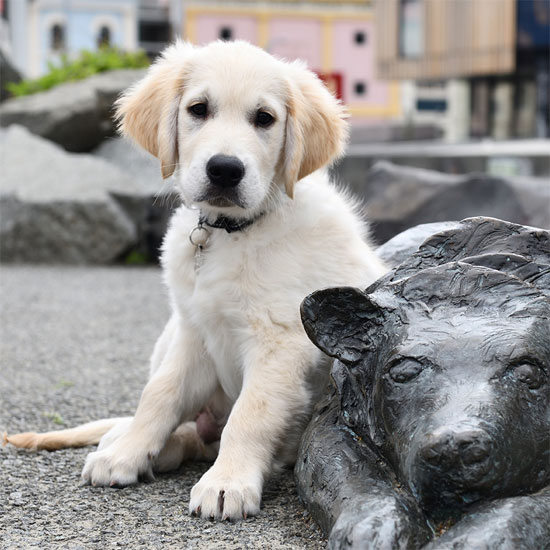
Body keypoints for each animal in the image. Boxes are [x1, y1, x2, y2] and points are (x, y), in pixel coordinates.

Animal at [7, 42, 388, 520]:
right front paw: (128, 452)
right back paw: (128, 441)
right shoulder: (195, 332)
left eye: (264, 118)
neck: (231, 233)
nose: (225, 169)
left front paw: (228, 482)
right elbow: (159, 394)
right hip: (169, 332)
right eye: (199, 109)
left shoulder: (281, 343)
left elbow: (250, 414)